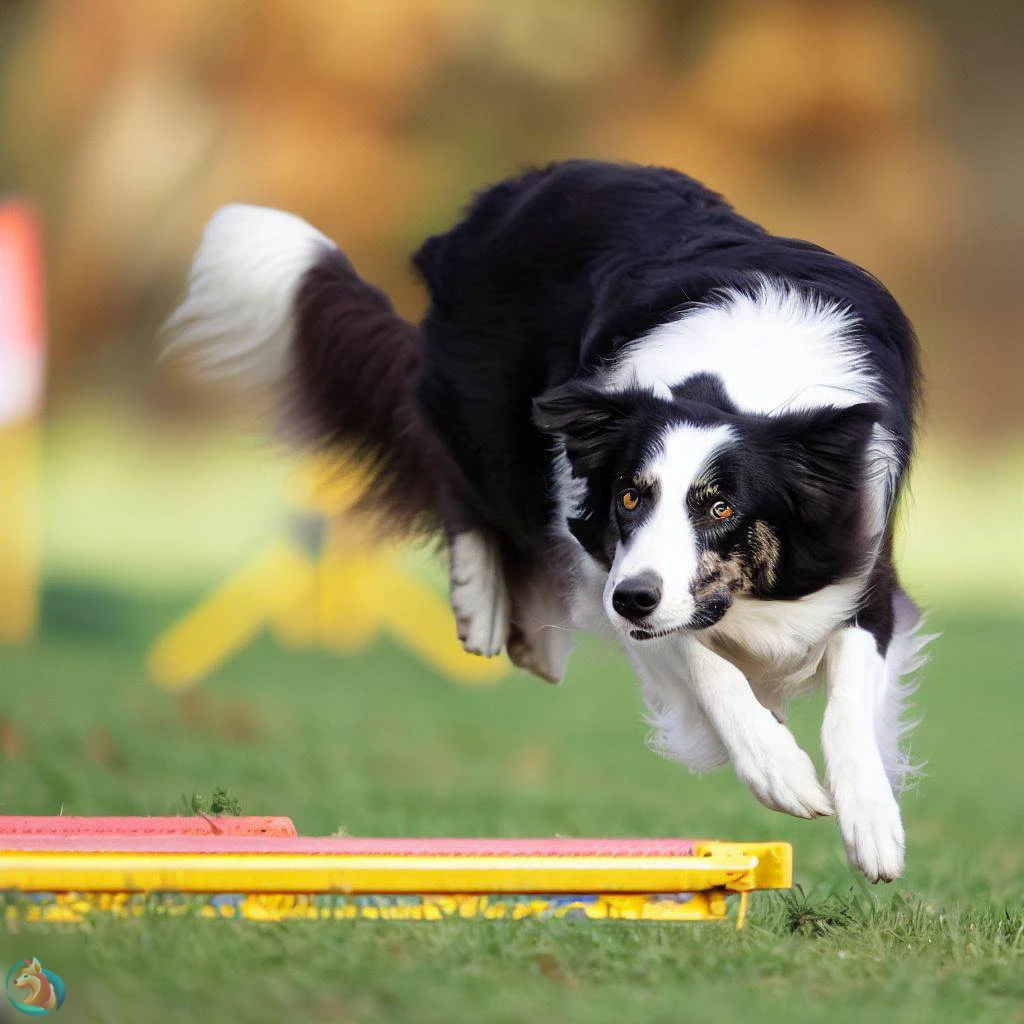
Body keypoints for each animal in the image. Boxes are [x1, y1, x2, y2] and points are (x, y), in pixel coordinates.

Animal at [163, 159, 933, 880]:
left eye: (721, 507)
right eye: (630, 497)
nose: (633, 599)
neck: (740, 382)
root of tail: (519, 188)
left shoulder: (860, 560)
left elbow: (847, 697)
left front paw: (871, 821)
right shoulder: (611, 564)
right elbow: (702, 660)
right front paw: (777, 767)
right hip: (495, 419)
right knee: (456, 470)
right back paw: (485, 604)